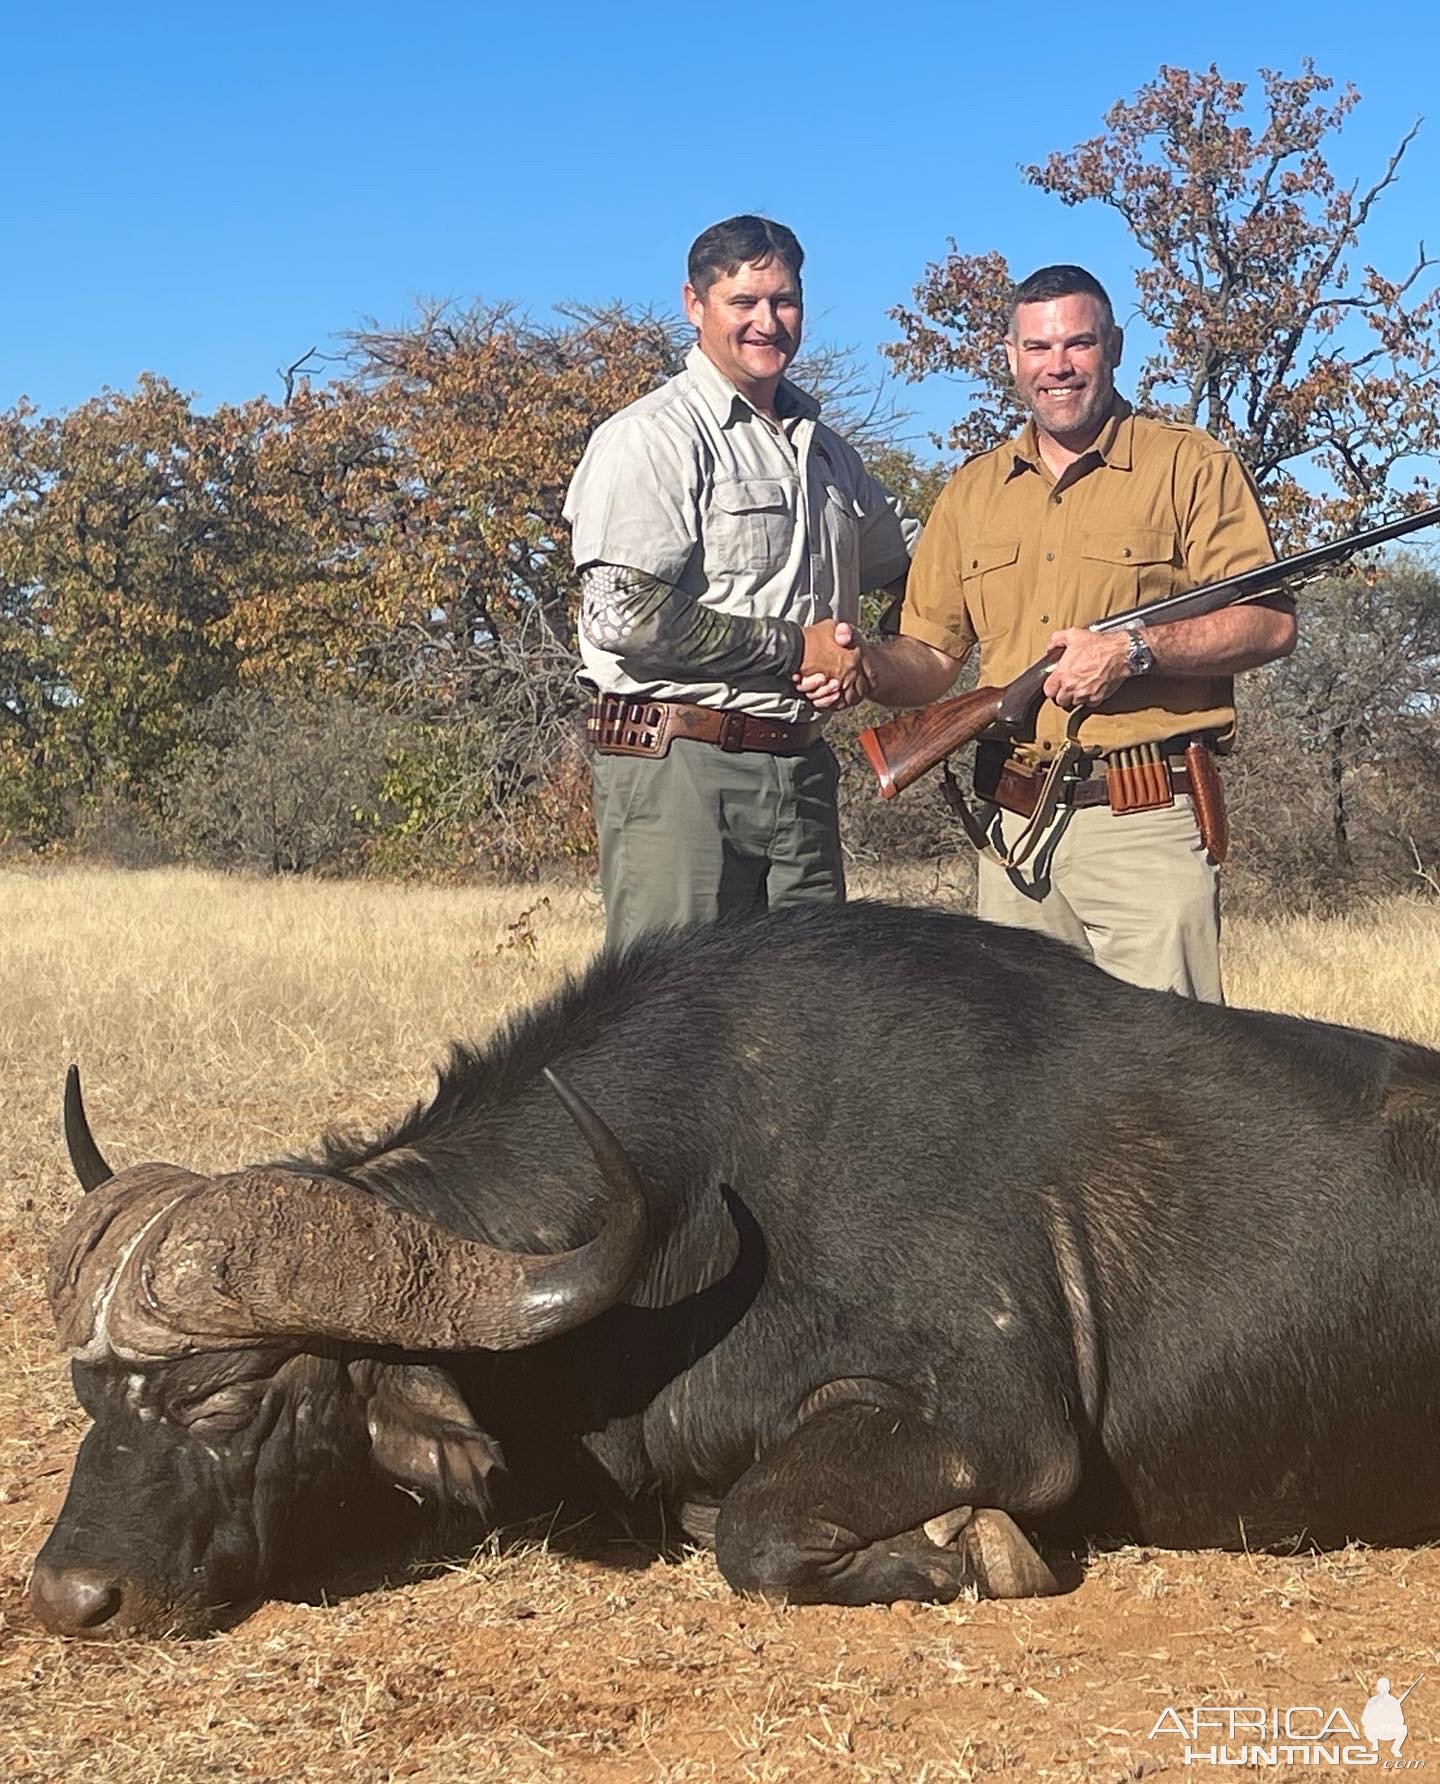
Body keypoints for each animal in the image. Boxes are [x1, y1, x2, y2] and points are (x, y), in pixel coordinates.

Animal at [25, 899, 1440, 1634]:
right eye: (92, 1398)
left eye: (228, 1396)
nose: (69, 1595)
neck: (698, 1205)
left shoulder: (992, 1420)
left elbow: (755, 1533)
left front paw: (973, 1550)